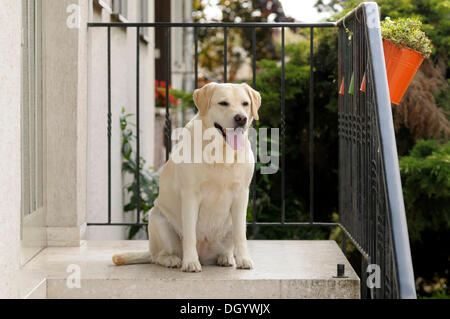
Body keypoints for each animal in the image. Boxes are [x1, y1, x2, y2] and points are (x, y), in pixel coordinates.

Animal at [111, 82, 262, 272]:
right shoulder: (190, 194)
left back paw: (225, 257)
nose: (241, 118)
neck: (220, 152)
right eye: (223, 103)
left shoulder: (242, 194)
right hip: (158, 219)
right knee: (157, 256)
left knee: (231, 238)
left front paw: (243, 259)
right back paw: (172, 260)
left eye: (245, 104)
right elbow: (190, 233)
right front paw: (190, 262)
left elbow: (240, 235)